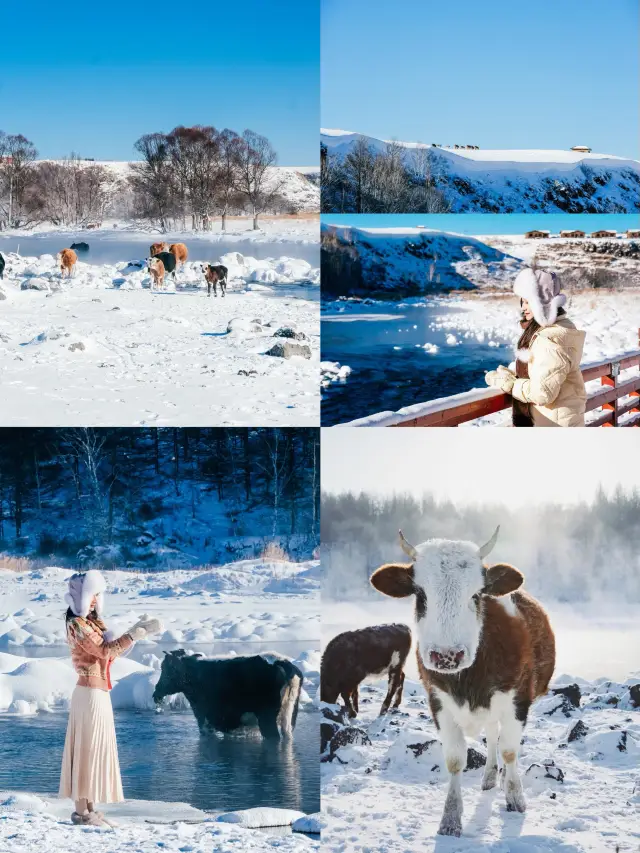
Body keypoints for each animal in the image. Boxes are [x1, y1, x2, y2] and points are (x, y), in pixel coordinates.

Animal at [152, 648, 302, 736]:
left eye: (165, 668)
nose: (156, 693)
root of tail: (282, 662)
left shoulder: (205, 721)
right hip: (289, 718)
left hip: (267, 718)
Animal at [370, 524, 556, 840]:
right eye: (420, 595)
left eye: (477, 594)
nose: (447, 656)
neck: (468, 681)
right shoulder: (438, 702)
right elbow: (455, 760)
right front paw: (450, 818)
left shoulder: (518, 700)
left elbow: (510, 750)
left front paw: (515, 796)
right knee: (491, 736)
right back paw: (490, 776)